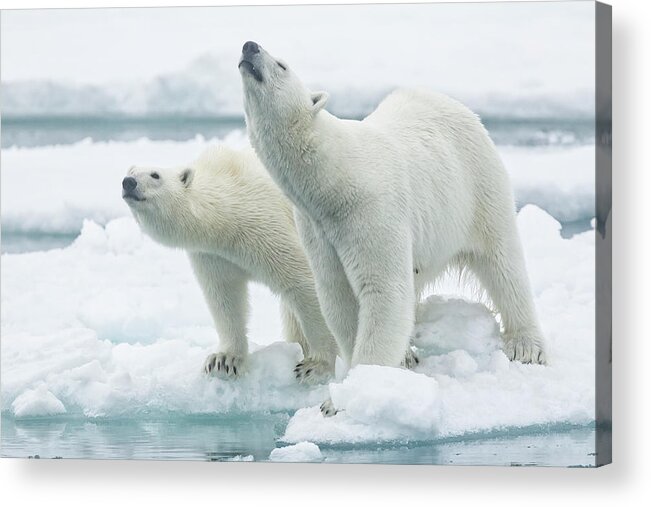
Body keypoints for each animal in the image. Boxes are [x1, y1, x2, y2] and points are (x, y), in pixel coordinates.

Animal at [121, 145, 342, 382]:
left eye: (155, 175)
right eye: (131, 171)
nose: (128, 182)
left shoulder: (266, 224)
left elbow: (304, 282)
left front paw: (316, 366)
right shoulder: (214, 255)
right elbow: (225, 296)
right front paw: (223, 360)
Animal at [238, 42, 544, 392]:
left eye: (282, 65)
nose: (249, 46)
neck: (335, 179)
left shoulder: (371, 211)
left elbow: (384, 291)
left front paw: (356, 388)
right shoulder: (318, 229)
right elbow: (337, 296)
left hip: (477, 187)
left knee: (503, 262)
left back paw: (527, 345)